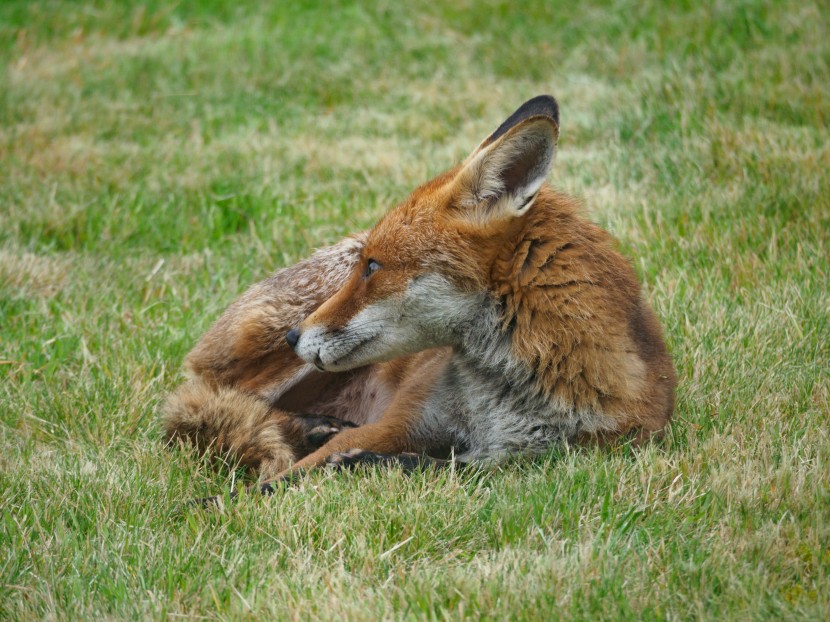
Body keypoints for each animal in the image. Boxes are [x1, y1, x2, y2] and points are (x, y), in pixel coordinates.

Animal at [162, 96, 676, 498]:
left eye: (373, 267)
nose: (294, 336)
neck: (501, 398)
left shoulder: (540, 458)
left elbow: (443, 466)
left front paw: (369, 464)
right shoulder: (398, 422)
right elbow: (274, 483)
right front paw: (210, 505)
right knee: (204, 412)